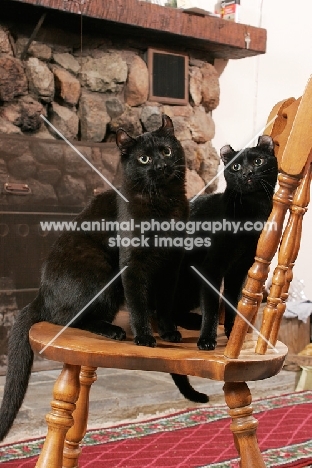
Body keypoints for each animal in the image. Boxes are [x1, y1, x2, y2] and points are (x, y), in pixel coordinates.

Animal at [0, 116, 206, 442]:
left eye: (166, 151)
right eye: (144, 159)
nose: (160, 165)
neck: (162, 206)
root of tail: (40, 294)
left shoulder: (170, 267)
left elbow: (163, 302)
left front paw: (168, 331)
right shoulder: (131, 266)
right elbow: (138, 305)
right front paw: (145, 338)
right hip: (102, 277)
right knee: (71, 319)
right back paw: (114, 331)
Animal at [173, 133, 278, 350]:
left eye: (258, 161)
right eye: (236, 167)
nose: (246, 172)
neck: (252, 211)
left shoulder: (239, 270)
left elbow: (234, 303)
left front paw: (232, 334)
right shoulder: (212, 268)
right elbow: (212, 307)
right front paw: (207, 340)